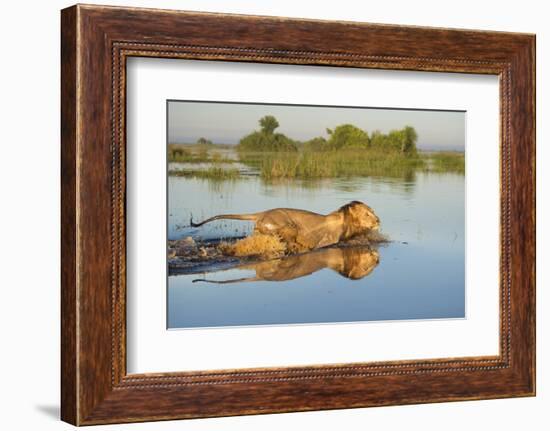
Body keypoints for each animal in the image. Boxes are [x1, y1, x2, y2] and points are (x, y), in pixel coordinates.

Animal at [192, 202, 382, 253]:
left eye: (373, 212)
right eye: (367, 214)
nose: (379, 220)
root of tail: (261, 213)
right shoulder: (327, 241)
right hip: (286, 224)